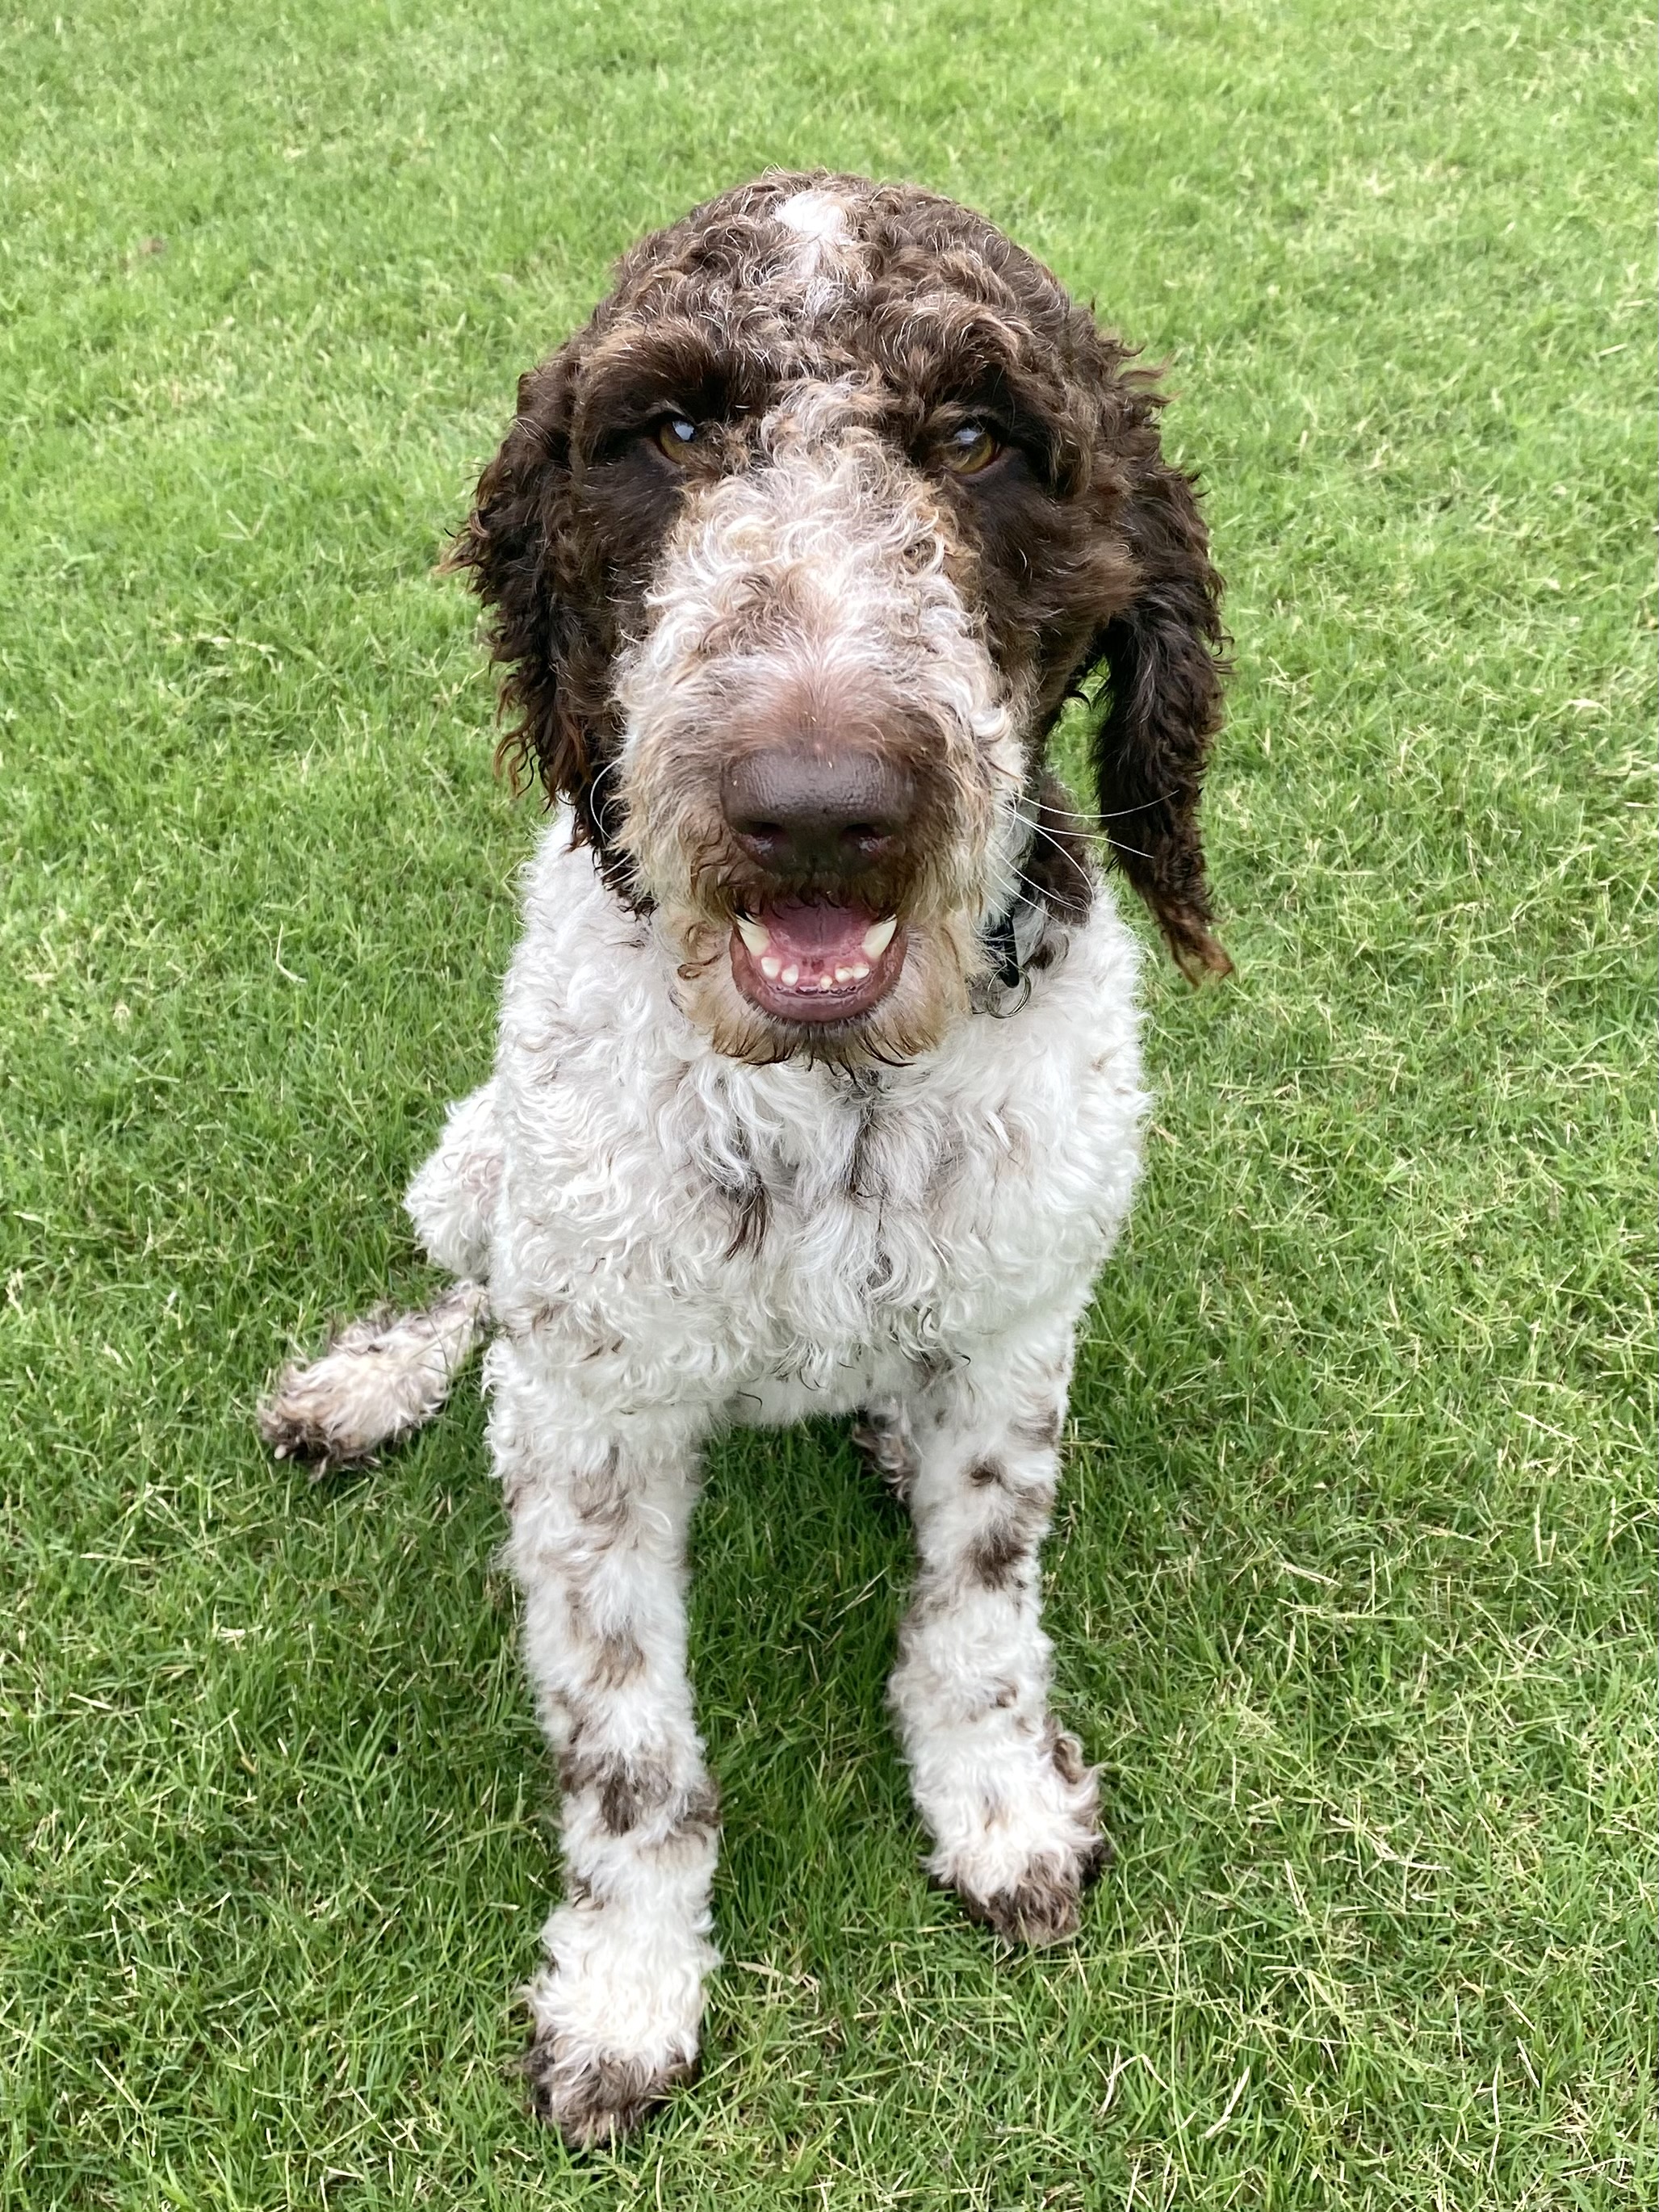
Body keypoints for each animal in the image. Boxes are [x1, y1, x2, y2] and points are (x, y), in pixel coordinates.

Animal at [260, 170, 1228, 2147]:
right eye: (674, 432)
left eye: (978, 439)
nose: (817, 815)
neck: (832, 1094)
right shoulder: (592, 1429)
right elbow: (630, 1754)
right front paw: (628, 1989)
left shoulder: (1017, 1334)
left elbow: (979, 1617)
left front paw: (998, 1809)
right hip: (471, 1167)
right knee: (469, 1295)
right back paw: (369, 1385)